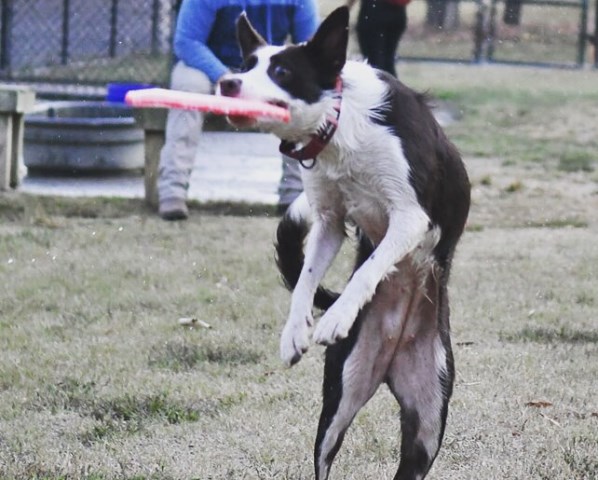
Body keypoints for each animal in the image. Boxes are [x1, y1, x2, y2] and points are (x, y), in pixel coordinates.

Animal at [219, 7, 474, 480]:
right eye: (245, 65)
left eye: (282, 71)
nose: (227, 83)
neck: (339, 125)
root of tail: (391, 357)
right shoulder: (328, 223)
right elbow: (305, 279)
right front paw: (294, 332)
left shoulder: (410, 217)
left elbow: (370, 267)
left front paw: (336, 317)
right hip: (339, 401)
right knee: (325, 453)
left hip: (428, 421)